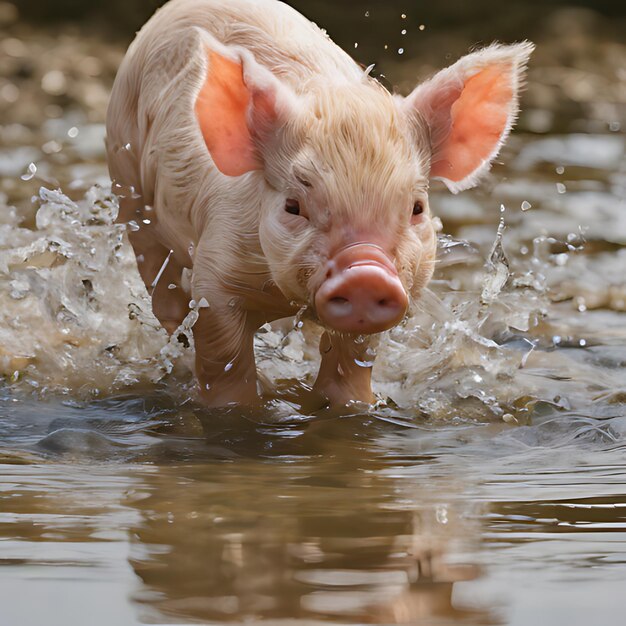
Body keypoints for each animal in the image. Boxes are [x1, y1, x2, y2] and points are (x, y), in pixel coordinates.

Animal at [106, 0, 532, 404]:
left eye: (416, 208)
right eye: (293, 205)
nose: (366, 273)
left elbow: (351, 367)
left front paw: (354, 404)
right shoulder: (217, 269)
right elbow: (223, 360)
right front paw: (243, 401)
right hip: (130, 191)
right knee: (161, 290)